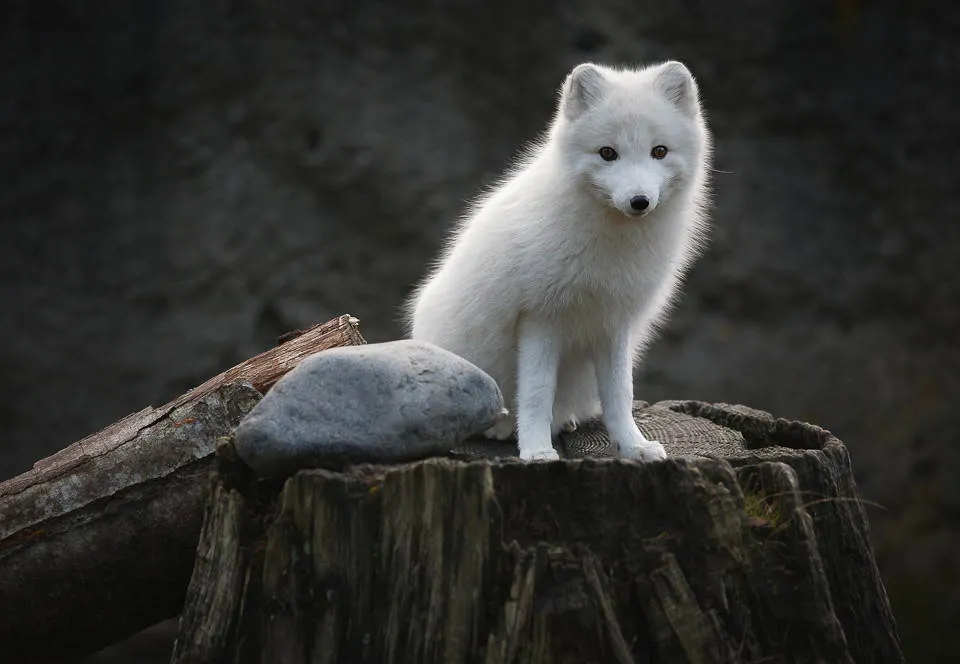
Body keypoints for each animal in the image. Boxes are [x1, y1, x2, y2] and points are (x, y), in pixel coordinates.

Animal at [406, 61, 712, 462]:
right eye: (607, 153)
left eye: (659, 151)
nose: (639, 201)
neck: (610, 246)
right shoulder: (539, 317)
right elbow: (537, 392)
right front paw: (536, 450)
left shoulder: (613, 321)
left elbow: (620, 394)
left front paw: (633, 447)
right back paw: (504, 427)